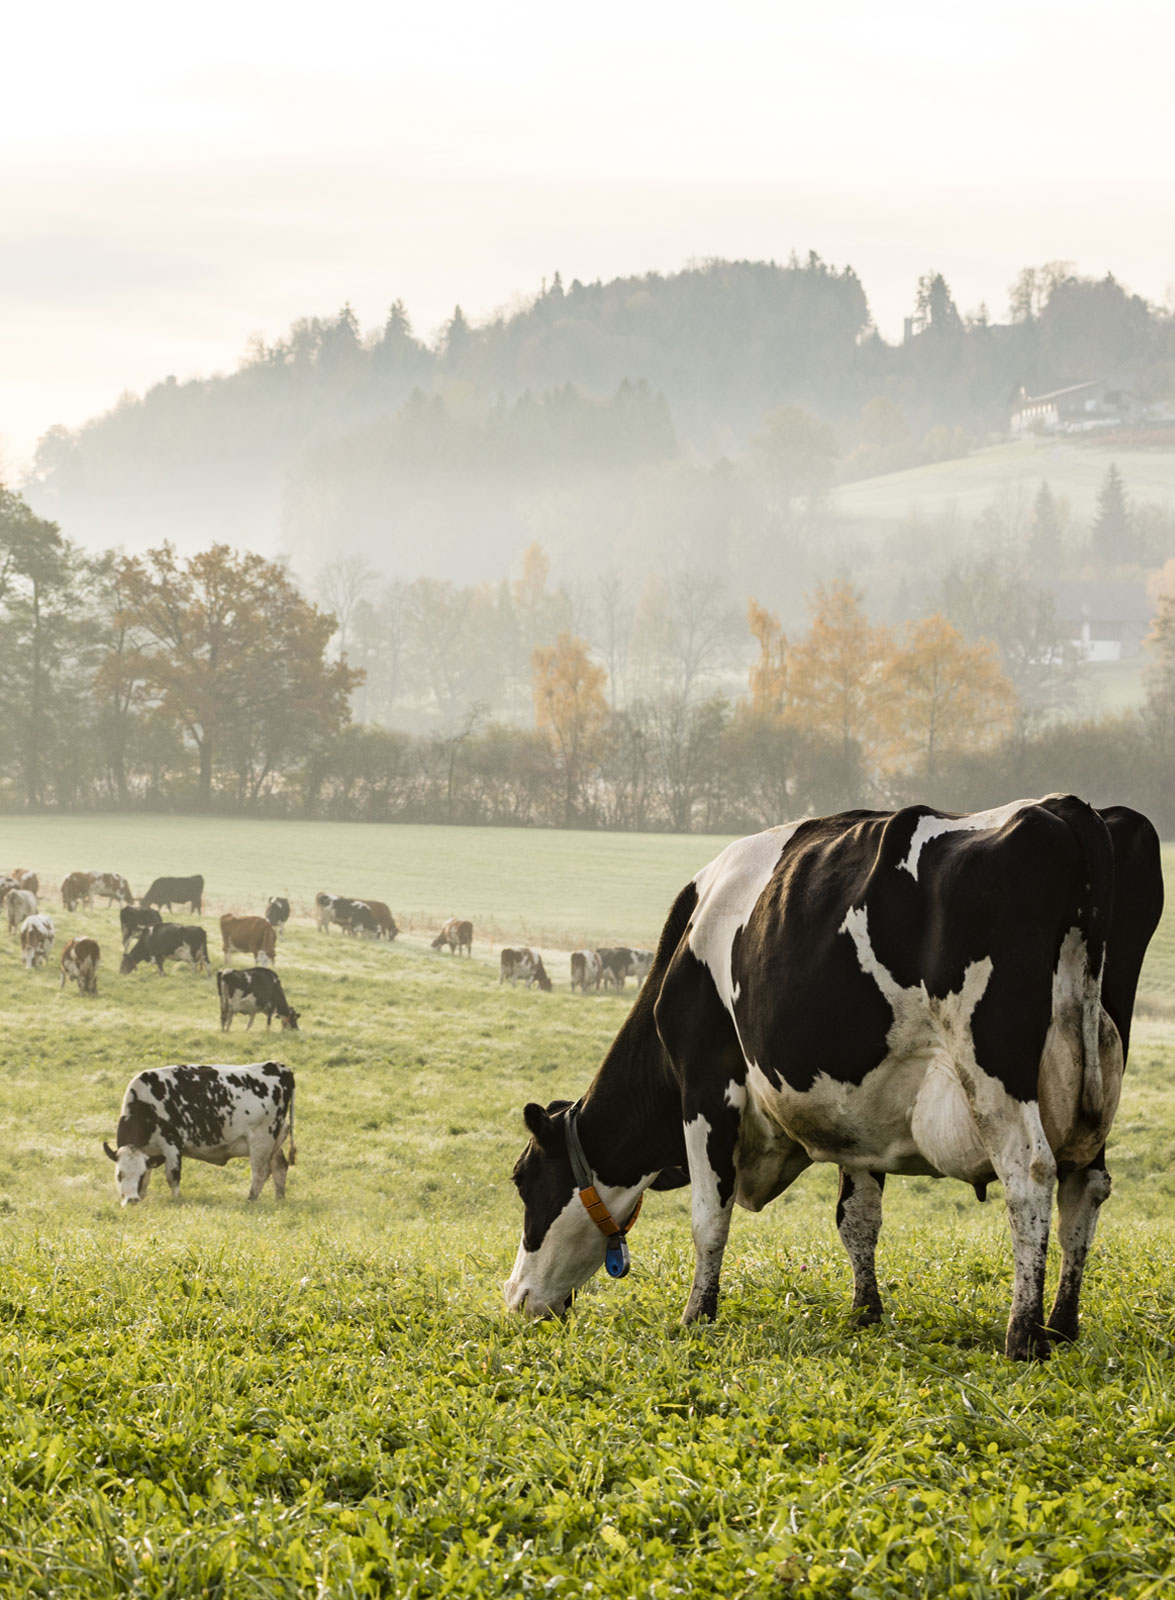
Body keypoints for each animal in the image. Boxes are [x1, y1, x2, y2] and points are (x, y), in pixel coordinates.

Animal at [103, 1062, 296, 1203]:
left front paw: (176, 1200)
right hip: (275, 1140)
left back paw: (251, 1199)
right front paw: (142, 1197)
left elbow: (172, 1176)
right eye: (119, 1175)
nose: (131, 1200)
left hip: (261, 1139)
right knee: (279, 1167)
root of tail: (278, 1066)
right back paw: (279, 1199)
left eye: (139, 1174)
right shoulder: (149, 1151)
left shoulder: (172, 1145)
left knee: (260, 1172)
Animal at [505, 793, 1171, 1356]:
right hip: (1096, 1079)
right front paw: (864, 1313)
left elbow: (708, 1215)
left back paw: (1023, 1336)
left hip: (996, 1069)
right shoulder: (860, 1112)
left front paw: (696, 1315)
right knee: (1084, 1186)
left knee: (1030, 1174)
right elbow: (857, 1219)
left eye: (522, 1180)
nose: (515, 1299)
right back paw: (1062, 1324)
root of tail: (1065, 807)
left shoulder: (706, 1082)